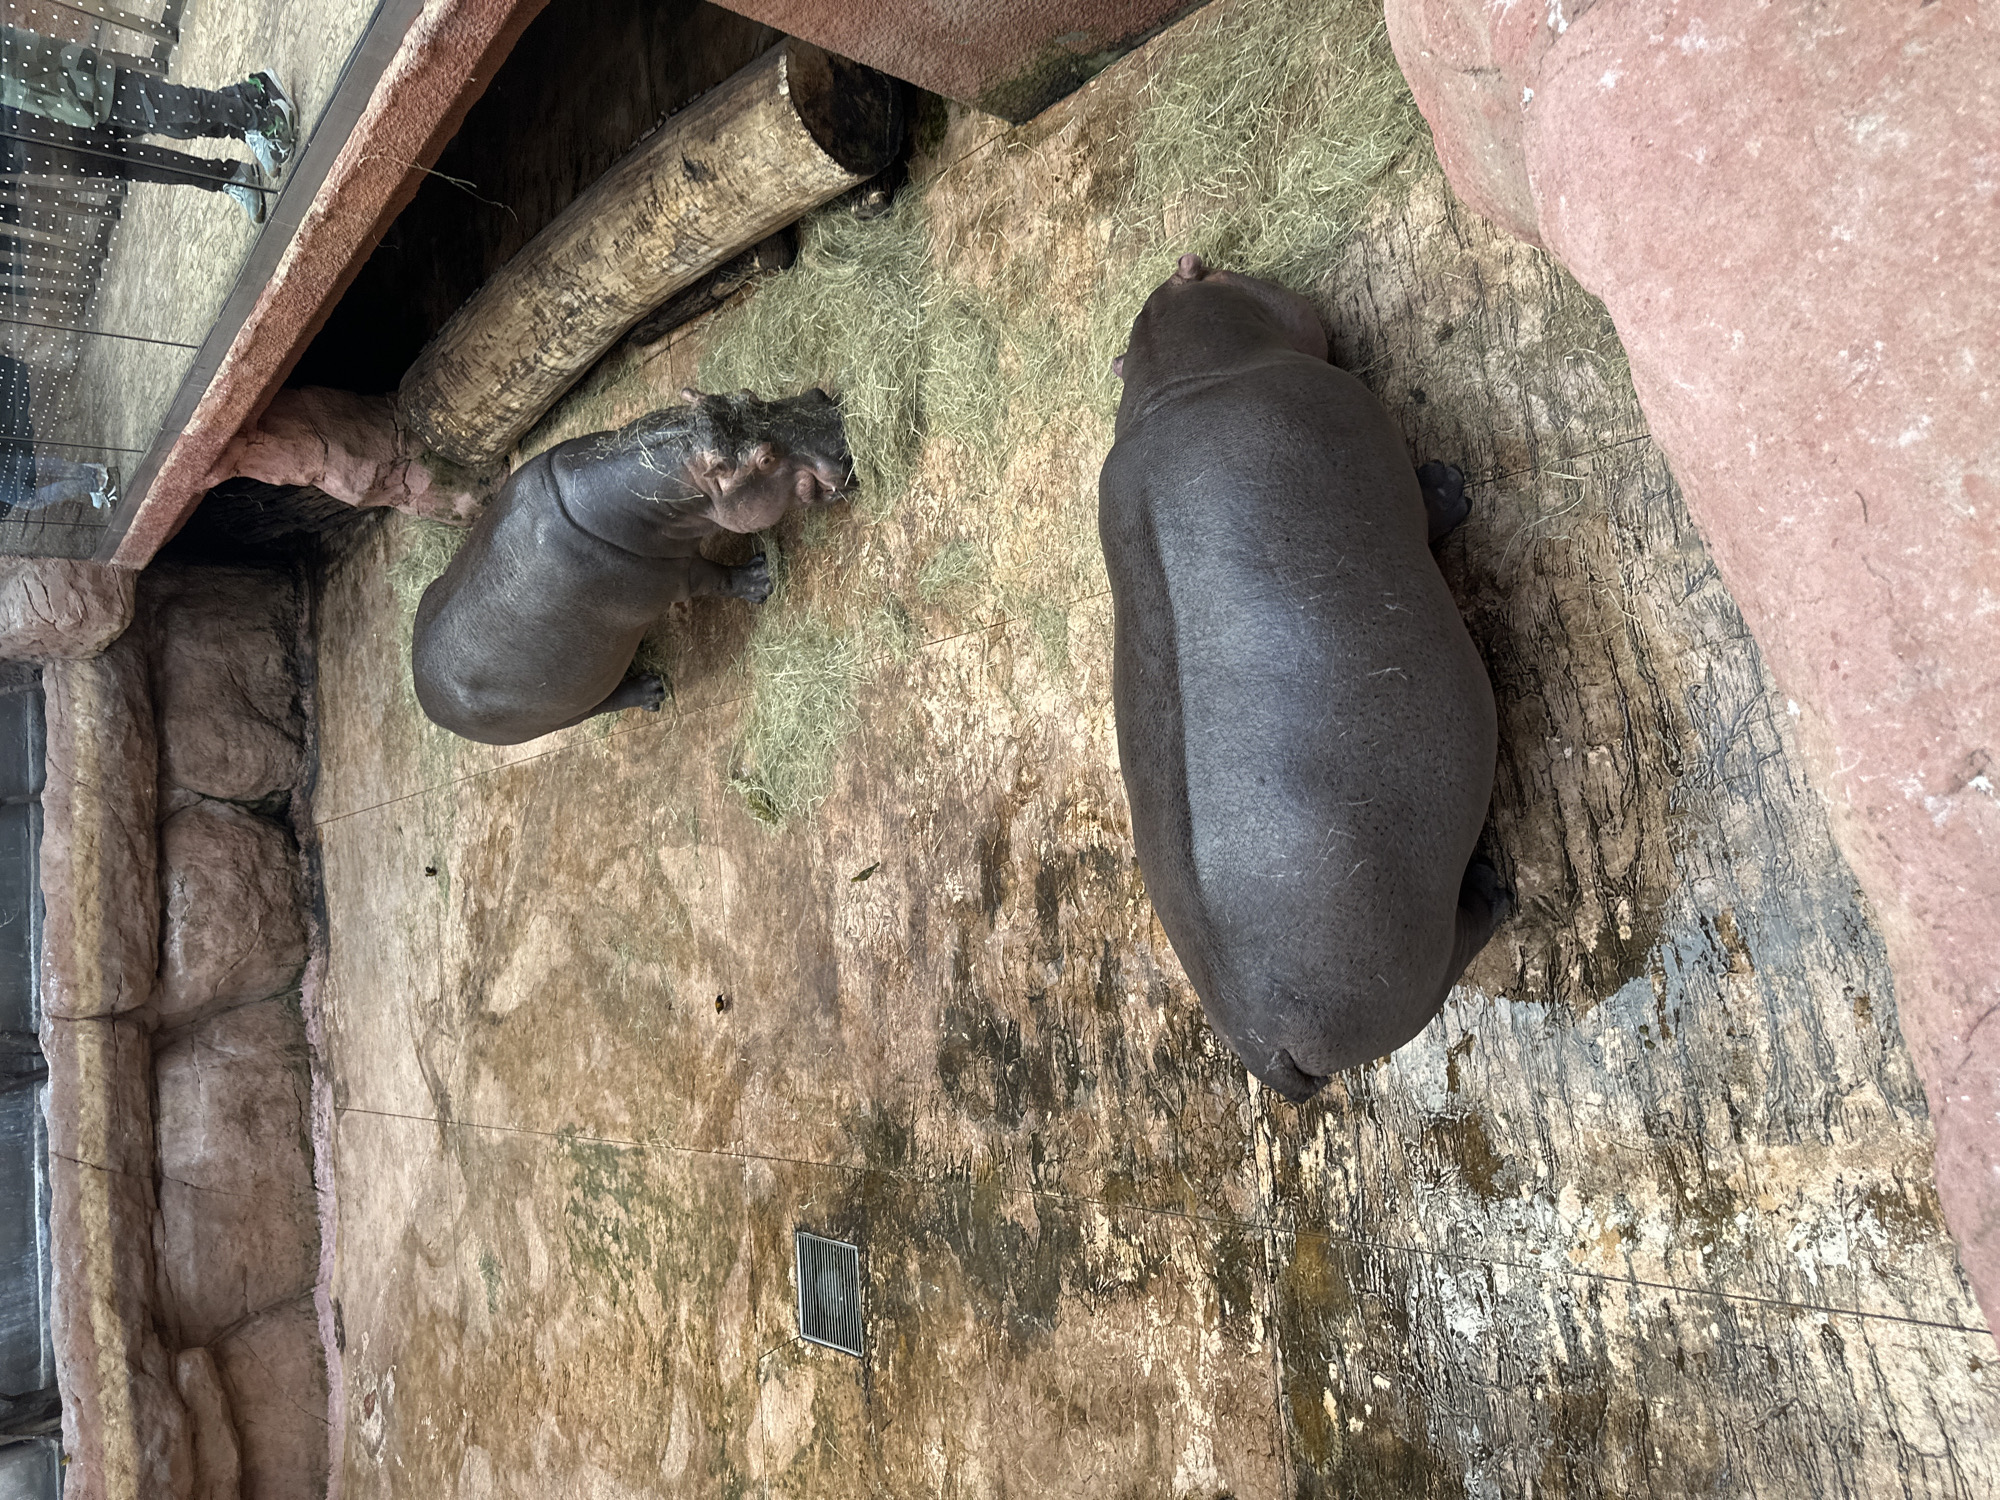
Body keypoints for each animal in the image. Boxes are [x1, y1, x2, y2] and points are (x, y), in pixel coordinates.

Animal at [414, 388, 851, 745]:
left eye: (749, 395)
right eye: (765, 459)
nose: (831, 409)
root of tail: (423, 694)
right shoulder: (673, 577)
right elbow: (714, 577)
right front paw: (759, 578)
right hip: (567, 710)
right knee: (599, 705)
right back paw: (649, 691)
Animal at [1099, 254, 1505, 1102]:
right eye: (1215, 269)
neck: (1181, 380)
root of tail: (1268, 1043)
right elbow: (1430, 509)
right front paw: (1452, 484)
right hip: (1410, 969)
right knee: (1453, 955)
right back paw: (1493, 889)